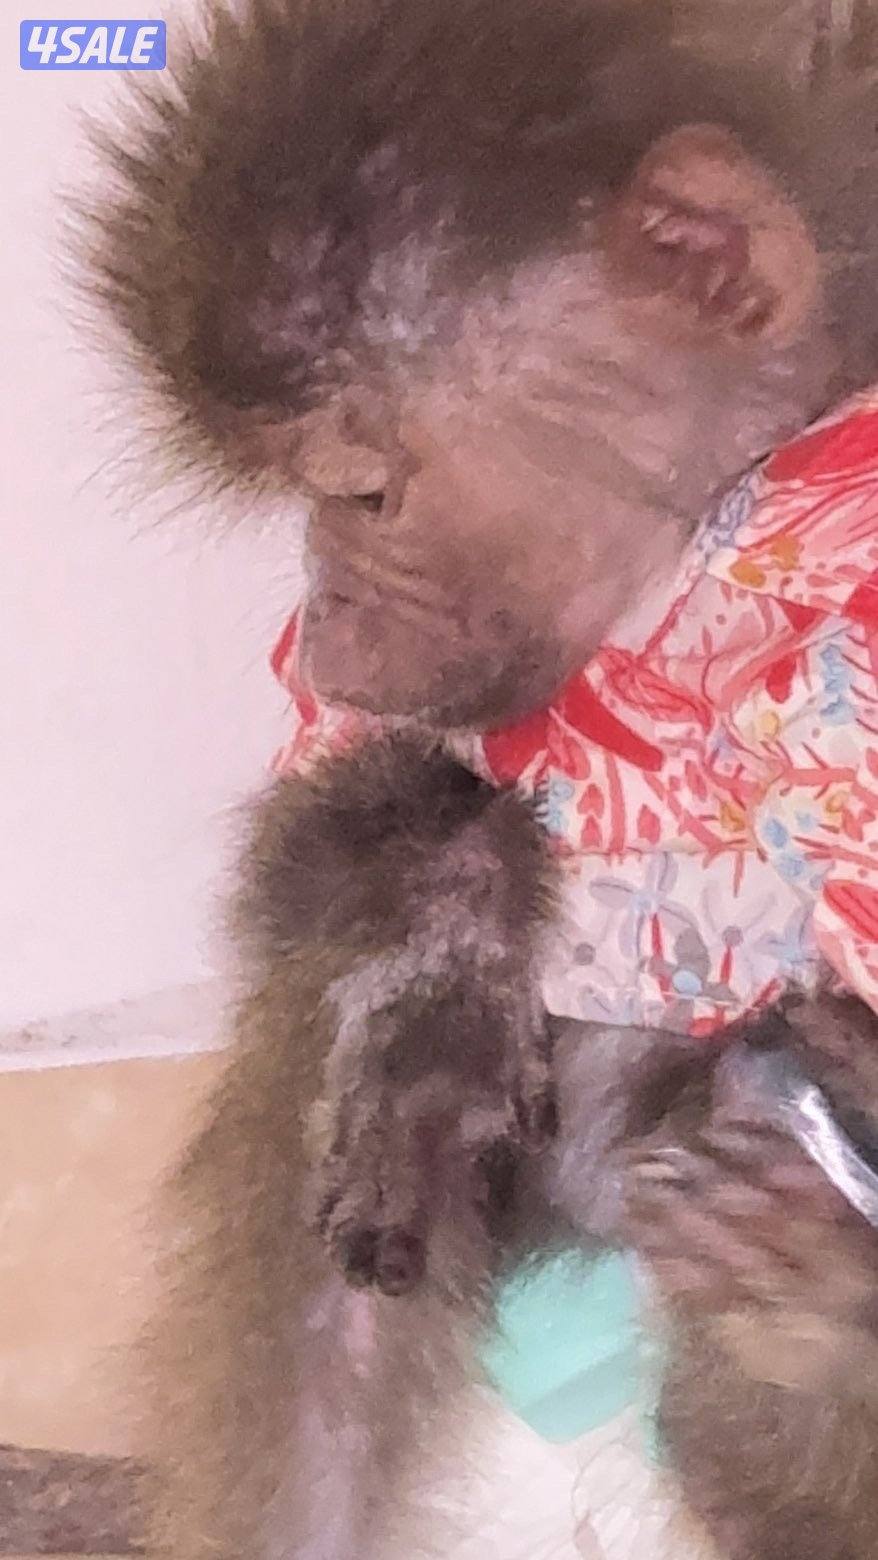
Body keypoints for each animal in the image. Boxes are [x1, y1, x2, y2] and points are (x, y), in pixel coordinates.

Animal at [77, 0, 878, 1556]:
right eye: (310, 499)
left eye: (361, 493)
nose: (324, 618)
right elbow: (329, 850)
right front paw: (438, 949)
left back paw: (817, 1323)